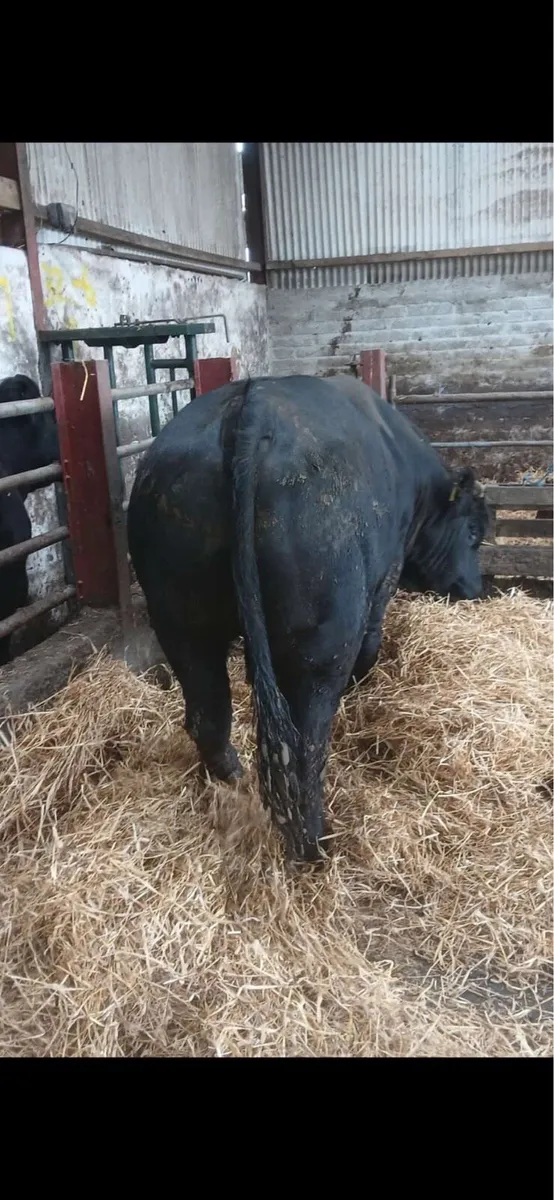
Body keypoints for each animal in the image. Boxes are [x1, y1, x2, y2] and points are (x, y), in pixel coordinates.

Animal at [127, 374, 489, 864]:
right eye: (473, 531)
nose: (475, 588)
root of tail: (249, 405)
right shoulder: (382, 586)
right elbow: (369, 650)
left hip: (180, 621)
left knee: (209, 716)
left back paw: (231, 786)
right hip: (320, 641)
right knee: (304, 743)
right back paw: (315, 842)